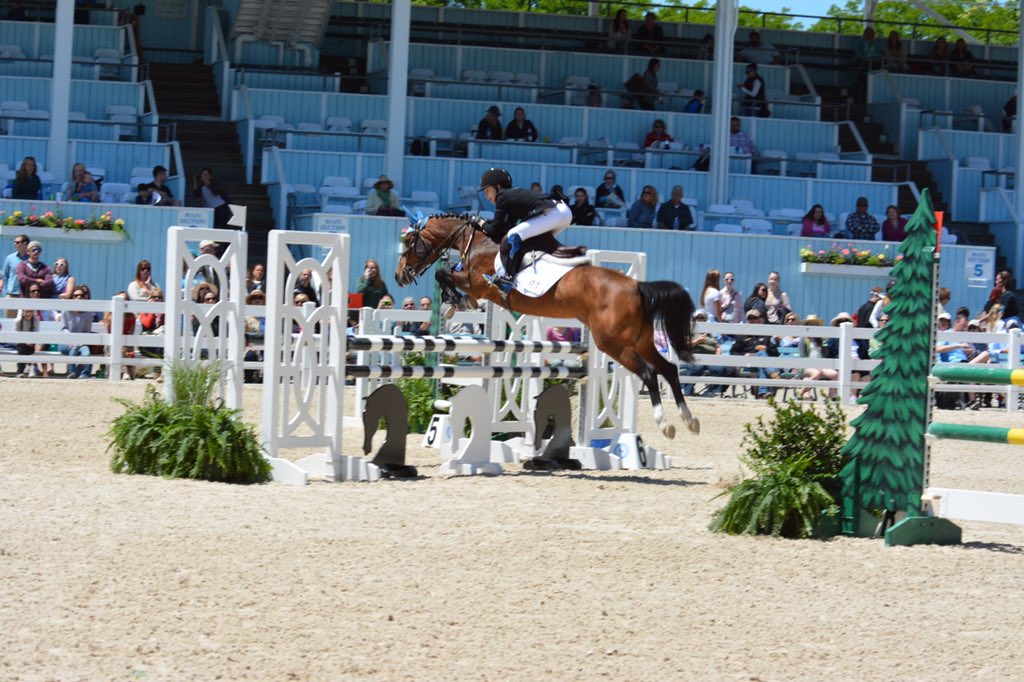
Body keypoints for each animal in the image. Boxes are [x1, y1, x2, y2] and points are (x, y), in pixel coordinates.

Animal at [394, 213, 700, 438]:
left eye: (409, 243)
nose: (399, 276)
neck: (477, 243)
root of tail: (637, 286)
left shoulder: (478, 283)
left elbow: (443, 275)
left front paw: (454, 302)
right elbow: (445, 276)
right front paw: (455, 303)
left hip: (613, 344)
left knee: (649, 373)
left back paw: (666, 425)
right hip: (641, 341)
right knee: (669, 369)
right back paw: (689, 420)